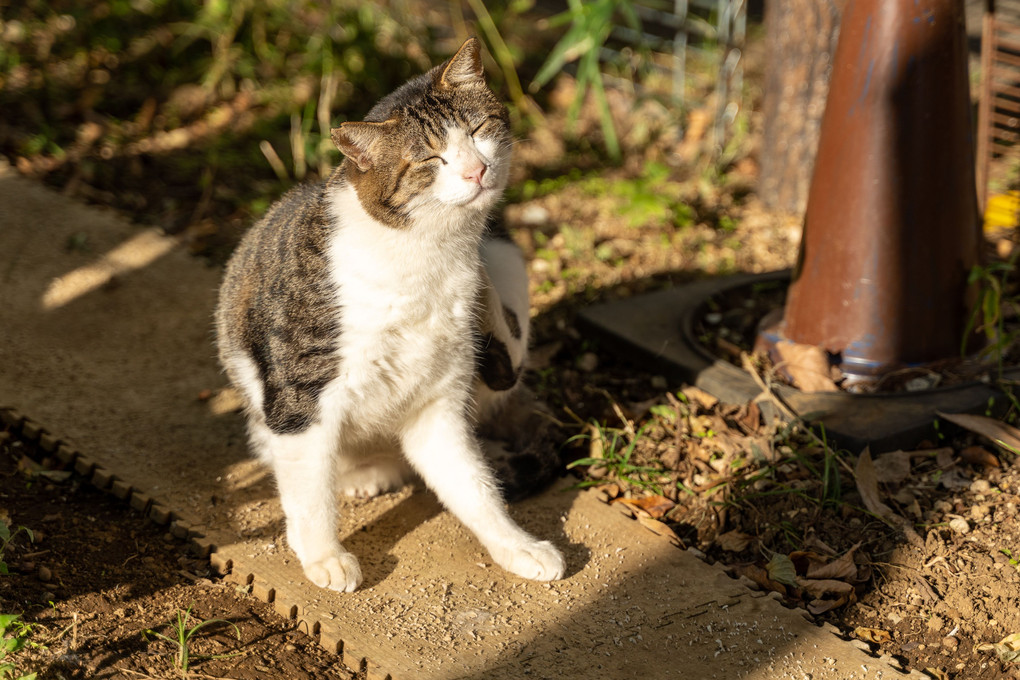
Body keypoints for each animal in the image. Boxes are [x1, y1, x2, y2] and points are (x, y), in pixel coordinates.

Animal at [215, 38, 567, 591]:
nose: (476, 170)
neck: (429, 255)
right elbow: (308, 492)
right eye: (431, 158)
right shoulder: (300, 396)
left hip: (508, 265)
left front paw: (517, 546)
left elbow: (474, 487)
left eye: (477, 130)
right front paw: (324, 556)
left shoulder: (438, 403)